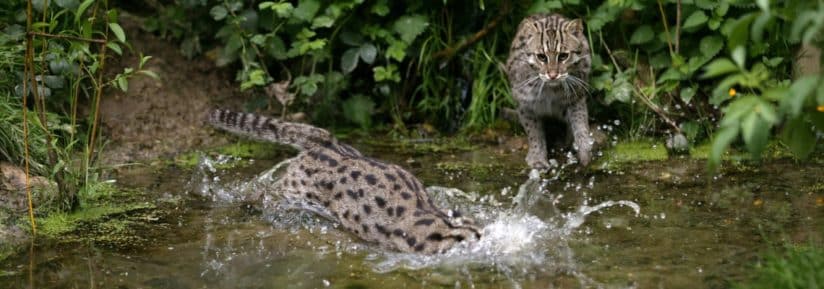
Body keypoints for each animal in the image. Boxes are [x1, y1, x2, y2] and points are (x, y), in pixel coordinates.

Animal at [502, 13, 592, 168]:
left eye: (563, 56)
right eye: (541, 57)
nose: (553, 75)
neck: (551, 89)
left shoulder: (576, 96)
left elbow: (580, 121)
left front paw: (584, 150)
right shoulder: (524, 102)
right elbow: (533, 131)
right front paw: (537, 158)